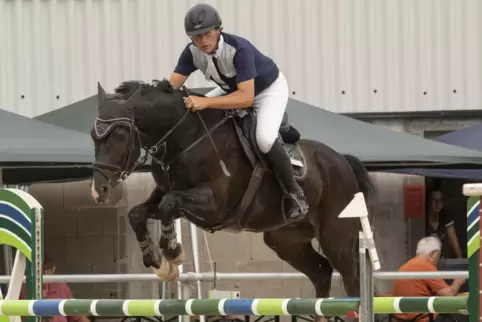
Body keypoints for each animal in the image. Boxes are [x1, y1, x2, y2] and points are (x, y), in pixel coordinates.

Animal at [90, 78, 376, 300]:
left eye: (119, 135)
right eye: (94, 136)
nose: (98, 190)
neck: (186, 137)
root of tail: (342, 160)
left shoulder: (214, 203)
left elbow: (169, 204)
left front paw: (172, 250)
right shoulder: (165, 192)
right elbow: (139, 212)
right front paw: (158, 261)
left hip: (337, 236)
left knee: (352, 279)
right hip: (285, 239)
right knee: (321, 273)